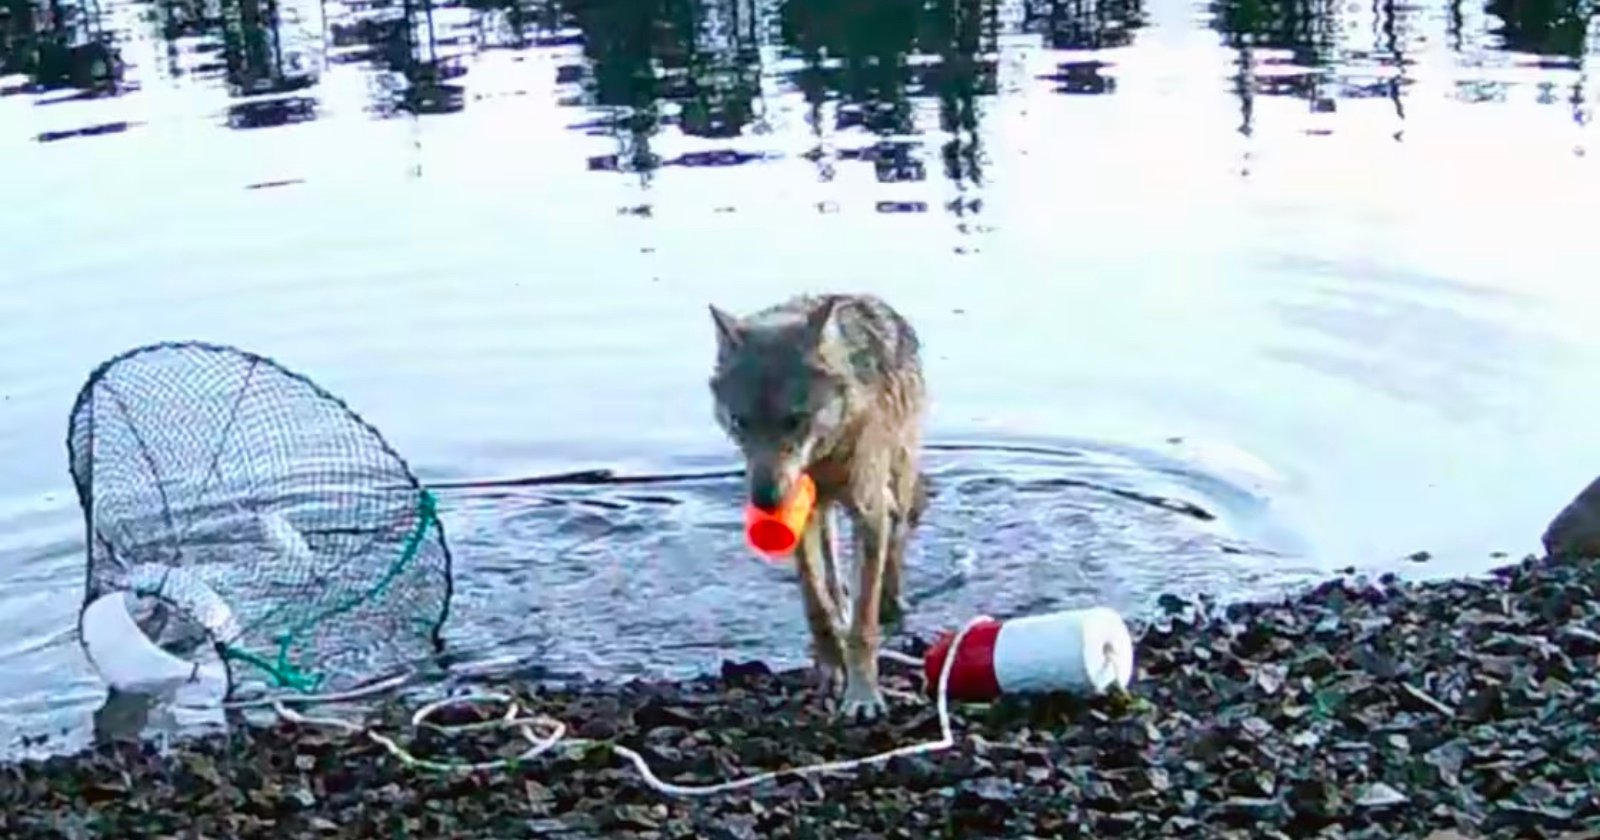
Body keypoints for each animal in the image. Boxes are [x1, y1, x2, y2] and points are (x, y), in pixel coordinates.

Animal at [707, 292, 929, 721]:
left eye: (794, 421)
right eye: (740, 422)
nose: (765, 500)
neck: (825, 457)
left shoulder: (869, 511)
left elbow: (863, 622)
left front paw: (863, 697)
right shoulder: (801, 515)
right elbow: (816, 603)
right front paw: (830, 668)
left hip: (898, 481)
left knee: (895, 542)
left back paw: (893, 602)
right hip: (825, 512)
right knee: (832, 572)